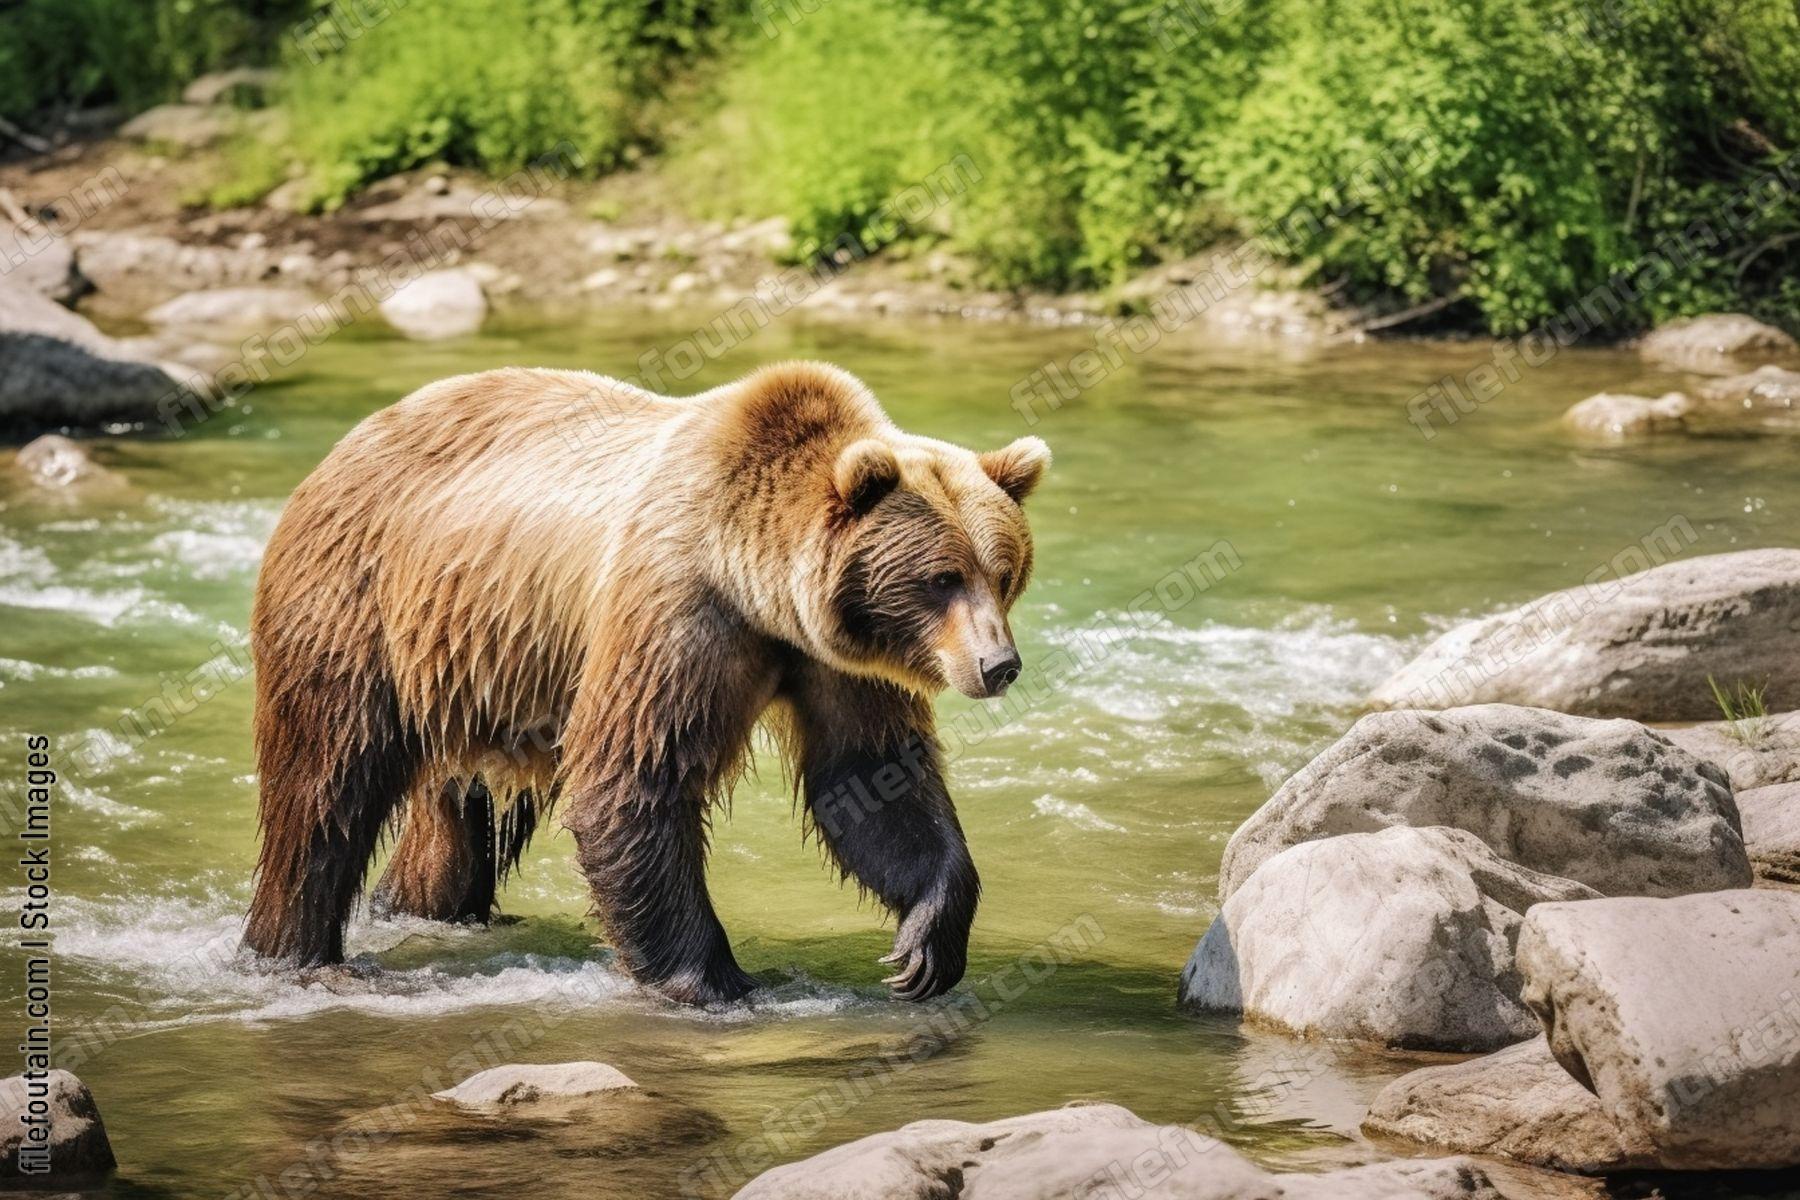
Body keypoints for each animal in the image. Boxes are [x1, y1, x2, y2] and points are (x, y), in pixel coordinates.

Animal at [242, 361, 1050, 1005]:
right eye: (941, 578)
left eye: (1003, 572)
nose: (998, 665)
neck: (756, 587)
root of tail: (345, 444)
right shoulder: (675, 609)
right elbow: (633, 777)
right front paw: (718, 979)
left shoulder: (834, 661)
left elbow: (871, 778)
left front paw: (925, 945)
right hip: (357, 607)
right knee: (325, 786)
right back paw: (295, 951)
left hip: (472, 663)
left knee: (455, 809)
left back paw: (422, 907)